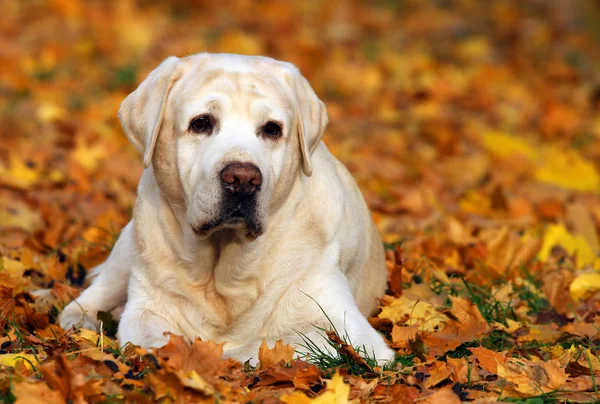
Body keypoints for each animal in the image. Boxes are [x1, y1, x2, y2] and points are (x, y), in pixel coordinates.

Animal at [58, 52, 396, 364]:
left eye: (272, 129)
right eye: (201, 123)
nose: (243, 179)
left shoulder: (353, 332)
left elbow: (268, 342)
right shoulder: (147, 308)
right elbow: (151, 337)